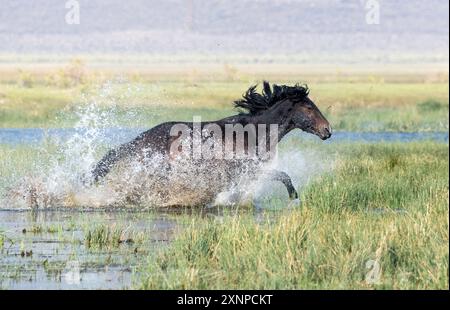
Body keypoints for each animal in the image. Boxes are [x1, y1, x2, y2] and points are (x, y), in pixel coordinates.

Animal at [91, 81, 330, 206]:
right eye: (309, 107)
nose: (327, 130)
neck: (252, 133)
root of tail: (138, 140)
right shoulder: (247, 169)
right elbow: (284, 176)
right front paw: (294, 197)